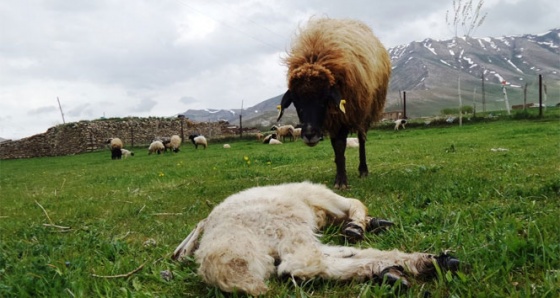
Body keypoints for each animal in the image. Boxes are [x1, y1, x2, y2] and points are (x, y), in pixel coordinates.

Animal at [173, 182, 462, 296]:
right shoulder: (315, 207)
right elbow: (354, 208)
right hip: (288, 222)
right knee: (303, 262)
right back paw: (423, 263)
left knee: (306, 263)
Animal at [278, 17, 392, 187]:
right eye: (296, 102)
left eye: (324, 99)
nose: (309, 135)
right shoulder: (332, 119)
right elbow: (335, 146)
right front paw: (339, 173)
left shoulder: (344, 114)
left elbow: (340, 145)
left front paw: (341, 181)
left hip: (364, 111)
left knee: (361, 139)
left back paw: (363, 170)